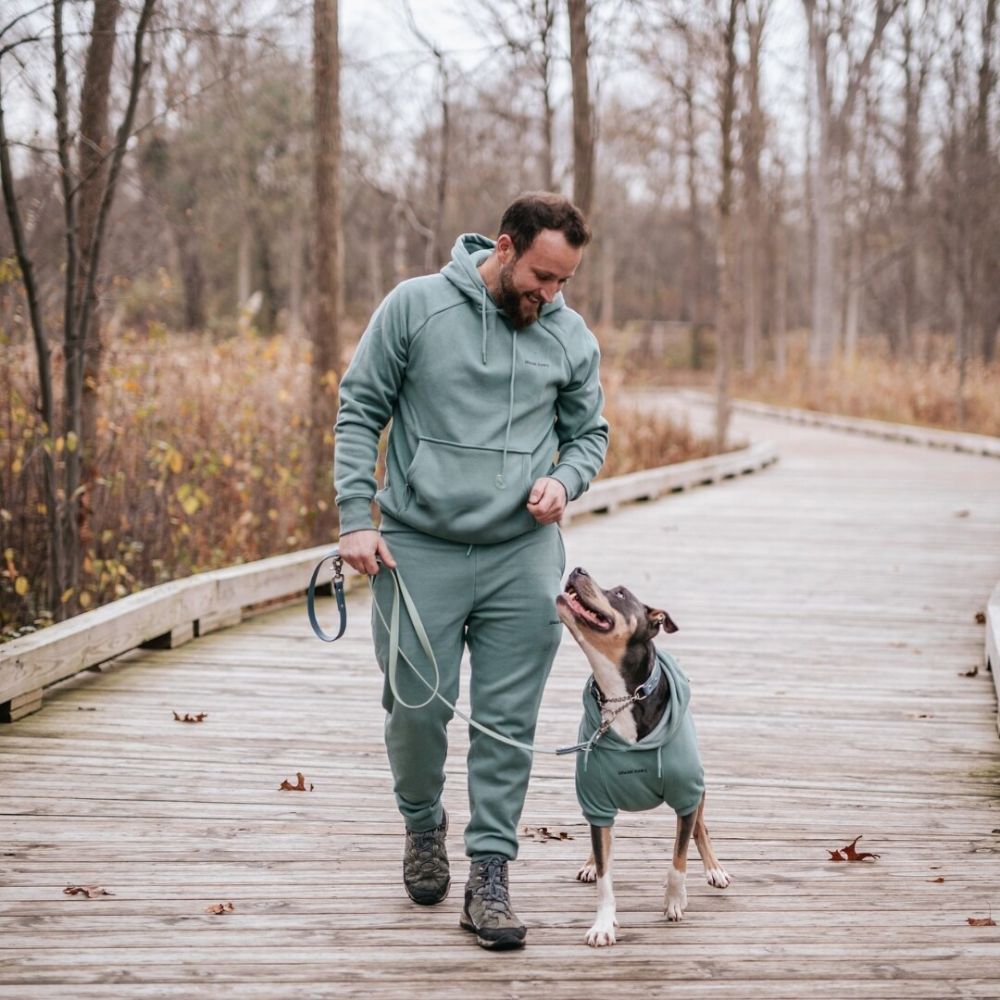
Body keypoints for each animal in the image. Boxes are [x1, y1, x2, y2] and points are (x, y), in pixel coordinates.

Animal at [556, 568, 728, 948]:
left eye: (620, 593)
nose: (577, 569)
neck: (621, 698)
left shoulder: (687, 794)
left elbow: (678, 859)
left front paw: (675, 901)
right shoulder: (595, 800)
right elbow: (605, 874)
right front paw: (603, 924)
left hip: (700, 786)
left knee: (700, 828)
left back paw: (714, 869)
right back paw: (590, 863)